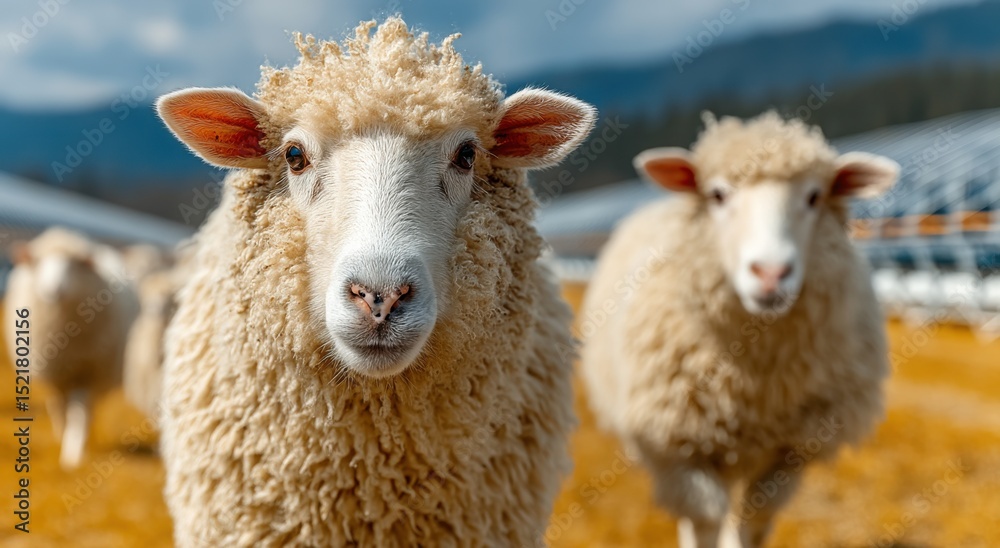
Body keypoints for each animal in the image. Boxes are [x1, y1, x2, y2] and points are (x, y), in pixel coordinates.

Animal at [4, 227, 139, 469]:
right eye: (38, 261)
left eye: (74, 264)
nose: (53, 289)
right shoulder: (57, 375)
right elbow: (59, 408)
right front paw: (63, 436)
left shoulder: (87, 373)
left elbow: (79, 415)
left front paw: (73, 456)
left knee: (89, 410)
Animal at [579, 112, 900, 548]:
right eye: (717, 195)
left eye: (814, 197)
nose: (771, 273)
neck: (751, 382)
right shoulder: (677, 449)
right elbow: (703, 522)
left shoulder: (792, 450)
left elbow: (754, 520)